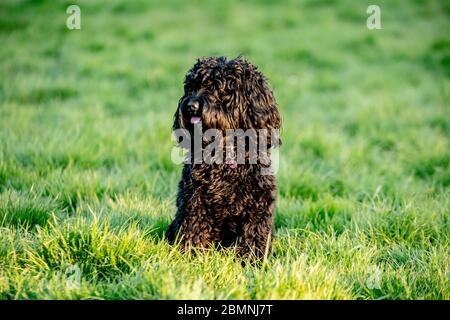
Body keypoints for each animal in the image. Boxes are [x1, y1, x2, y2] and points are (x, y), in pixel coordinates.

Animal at [166, 55, 282, 260]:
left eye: (218, 88)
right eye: (191, 87)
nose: (191, 106)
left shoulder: (259, 203)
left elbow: (255, 233)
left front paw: (253, 260)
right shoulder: (194, 199)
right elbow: (194, 230)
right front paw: (192, 256)